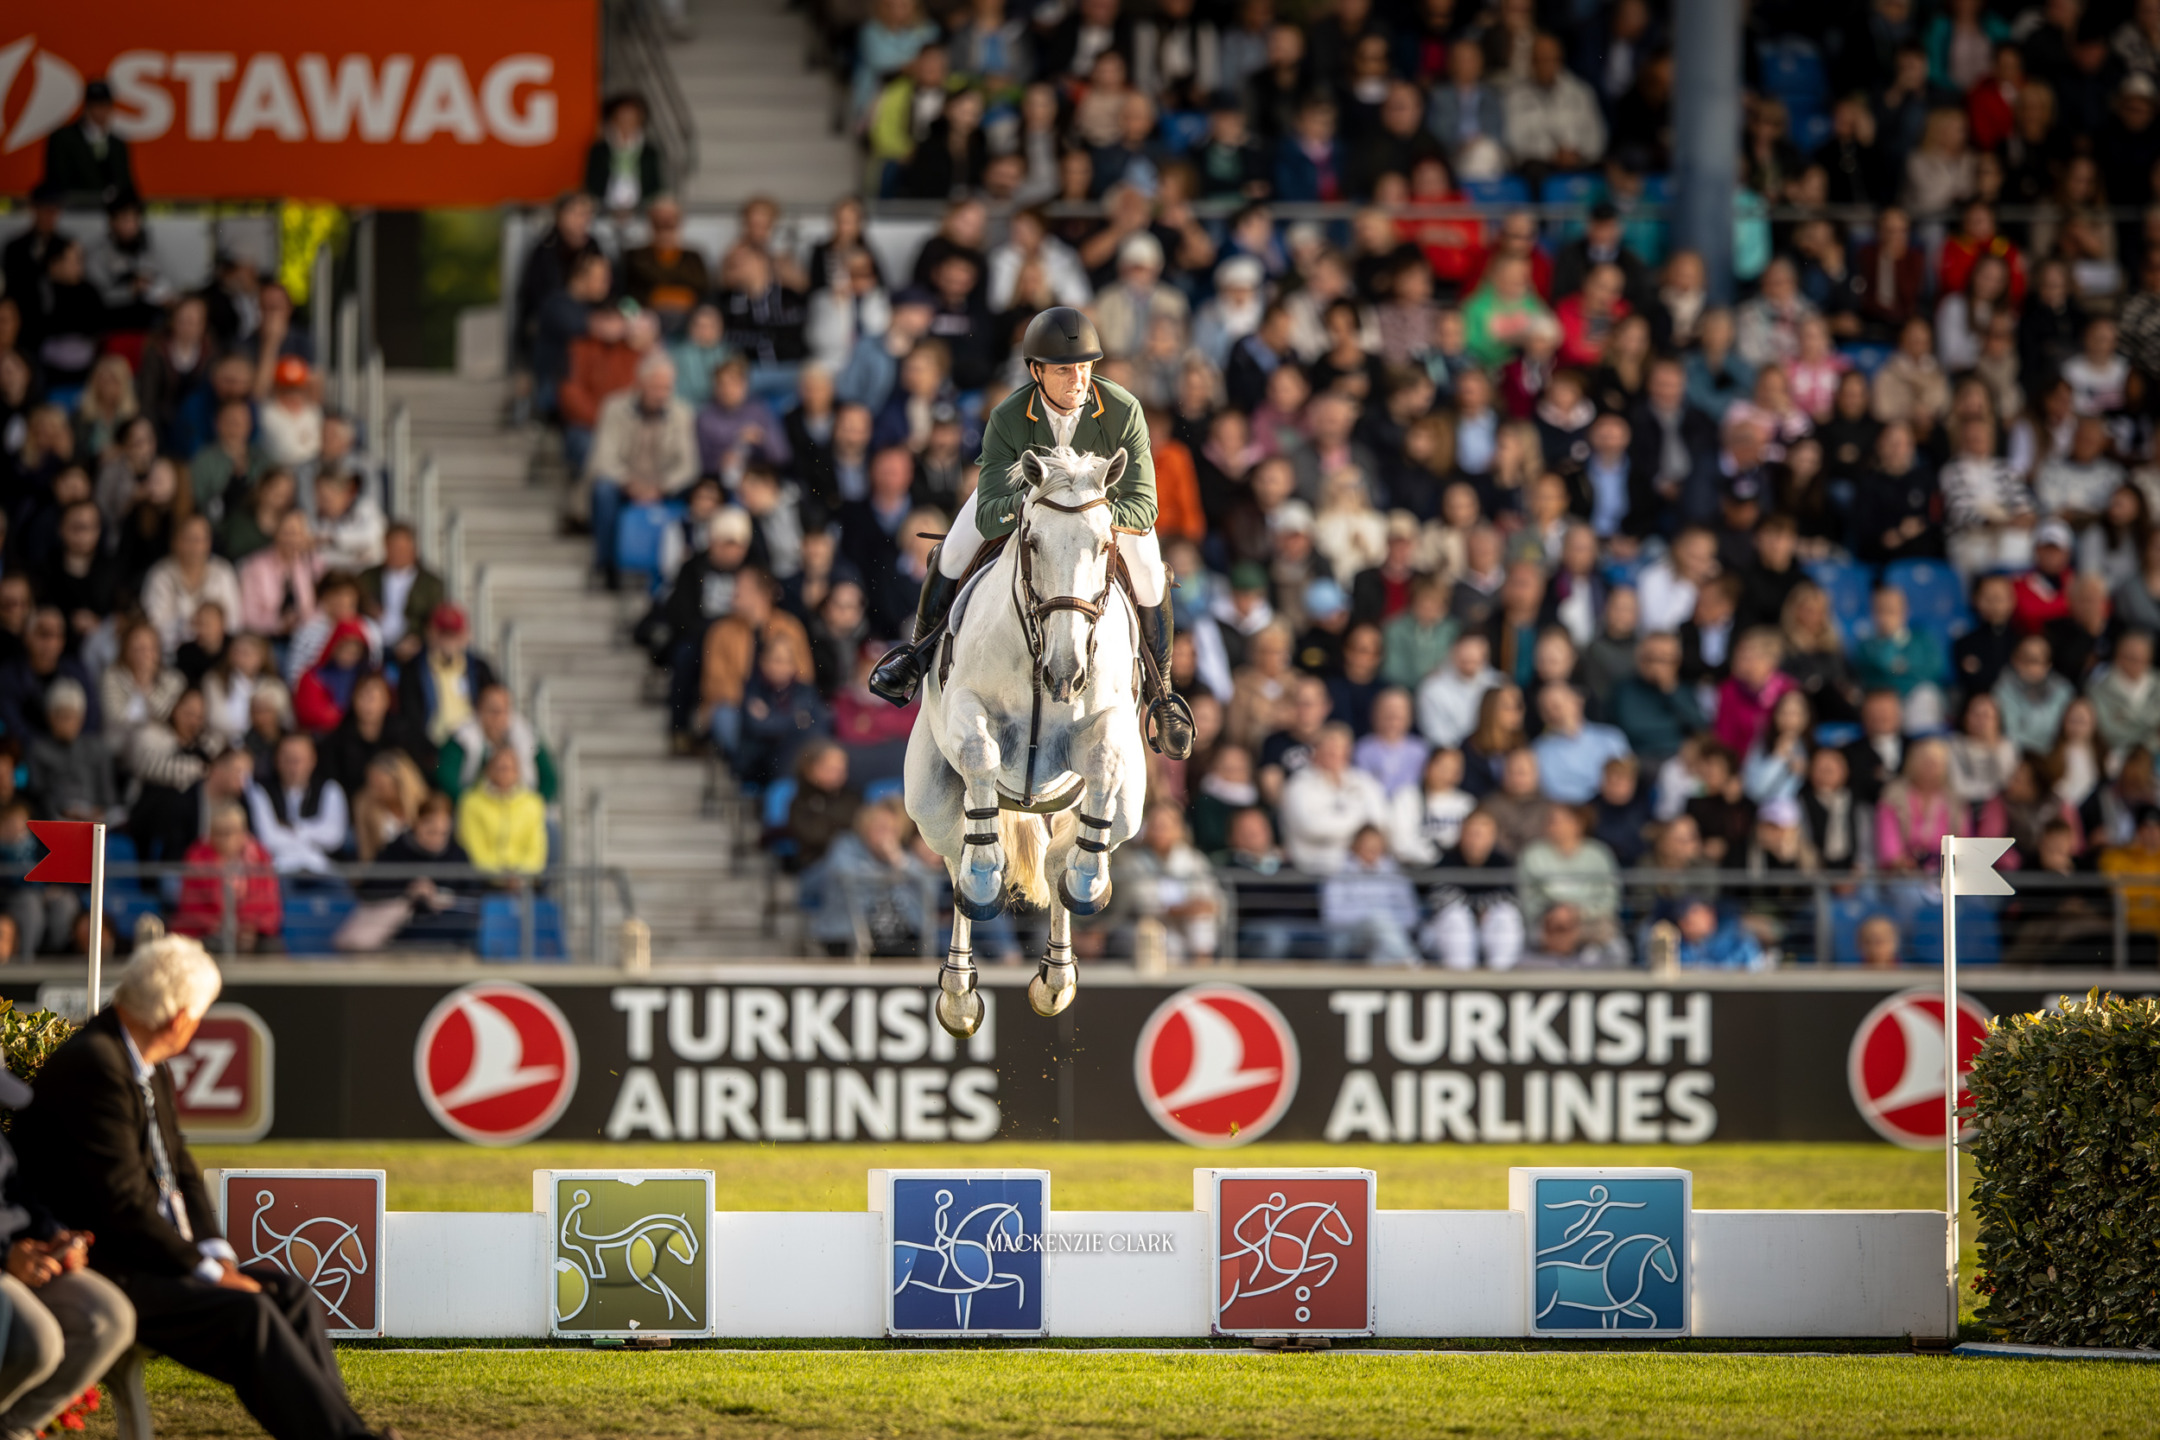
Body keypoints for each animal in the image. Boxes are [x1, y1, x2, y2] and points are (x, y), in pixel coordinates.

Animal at [902, 446, 1157, 1036]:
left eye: (1105, 545)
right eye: (1033, 541)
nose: (1065, 674)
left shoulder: (1105, 723)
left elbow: (1104, 759)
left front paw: (1087, 883)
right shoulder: (967, 707)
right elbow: (980, 754)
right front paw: (983, 879)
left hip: (1128, 808)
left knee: (1065, 854)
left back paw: (1057, 974)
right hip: (929, 800)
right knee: (957, 851)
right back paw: (960, 985)